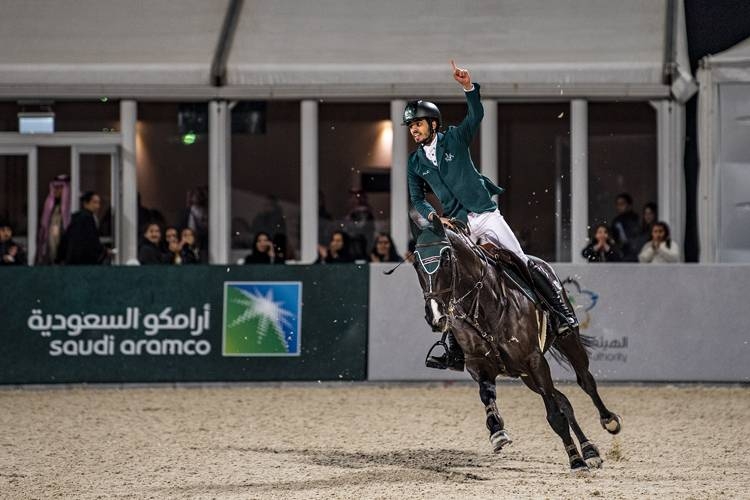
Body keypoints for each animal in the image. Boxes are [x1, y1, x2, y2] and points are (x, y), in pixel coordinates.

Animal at [412, 218, 624, 468]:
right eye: (416, 263)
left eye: (445, 259)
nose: (435, 315)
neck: (486, 305)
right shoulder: (479, 365)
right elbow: (487, 396)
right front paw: (497, 432)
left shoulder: (534, 360)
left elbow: (555, 415)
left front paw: (575, 461)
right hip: (526, 376)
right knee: (563, 400)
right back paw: (589, 450)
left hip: (566, 343)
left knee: (585, 381)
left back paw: (608, 422)